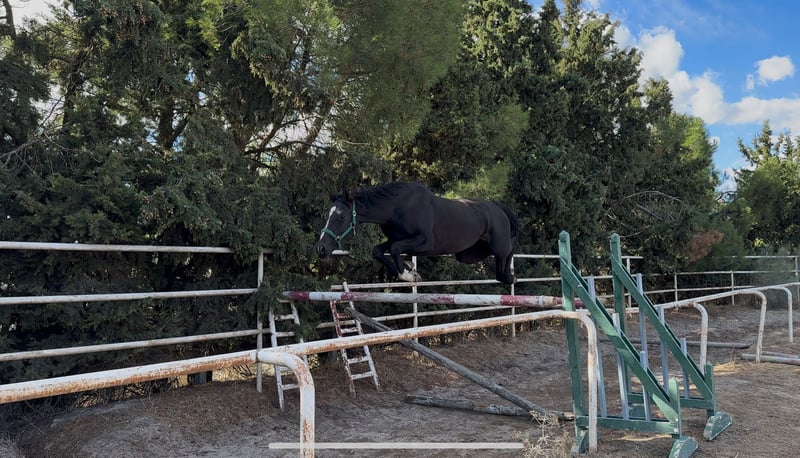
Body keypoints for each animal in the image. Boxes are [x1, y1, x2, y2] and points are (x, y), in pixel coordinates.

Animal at [314, 182, 519, 284]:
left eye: (341, 216)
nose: (321, 249)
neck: (396, 207)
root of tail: (497, 207)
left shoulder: (425, 242)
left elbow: (396, 250)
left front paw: (408, 273)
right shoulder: (395, 238)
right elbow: (379, 251)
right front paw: (406, 270)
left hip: (496, 245)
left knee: (509, 251)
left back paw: (509, 276)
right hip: (469, 254)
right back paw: (506, 276)